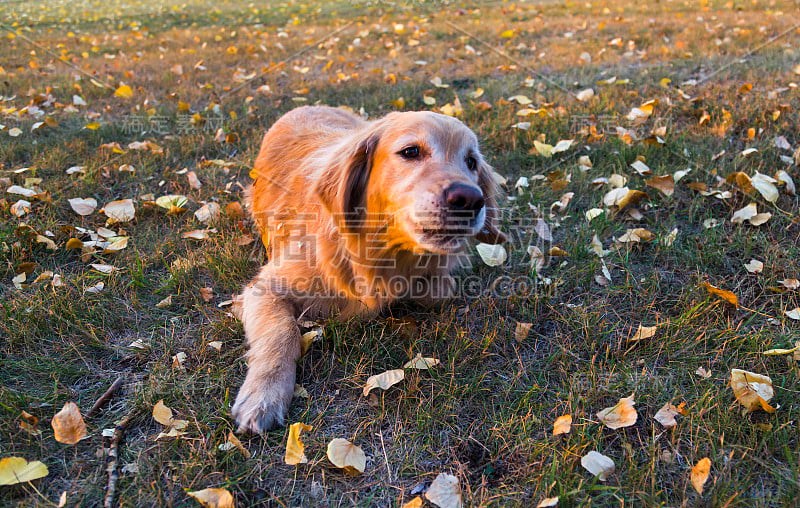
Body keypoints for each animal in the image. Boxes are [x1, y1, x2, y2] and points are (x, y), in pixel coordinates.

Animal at [231, 107, 506, 432]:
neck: (379, 254)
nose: (470, 199)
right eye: (410, 151)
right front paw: (264, 394)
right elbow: (282, 332)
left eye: (471, 162)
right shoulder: (265, 288)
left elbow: (438, 289)